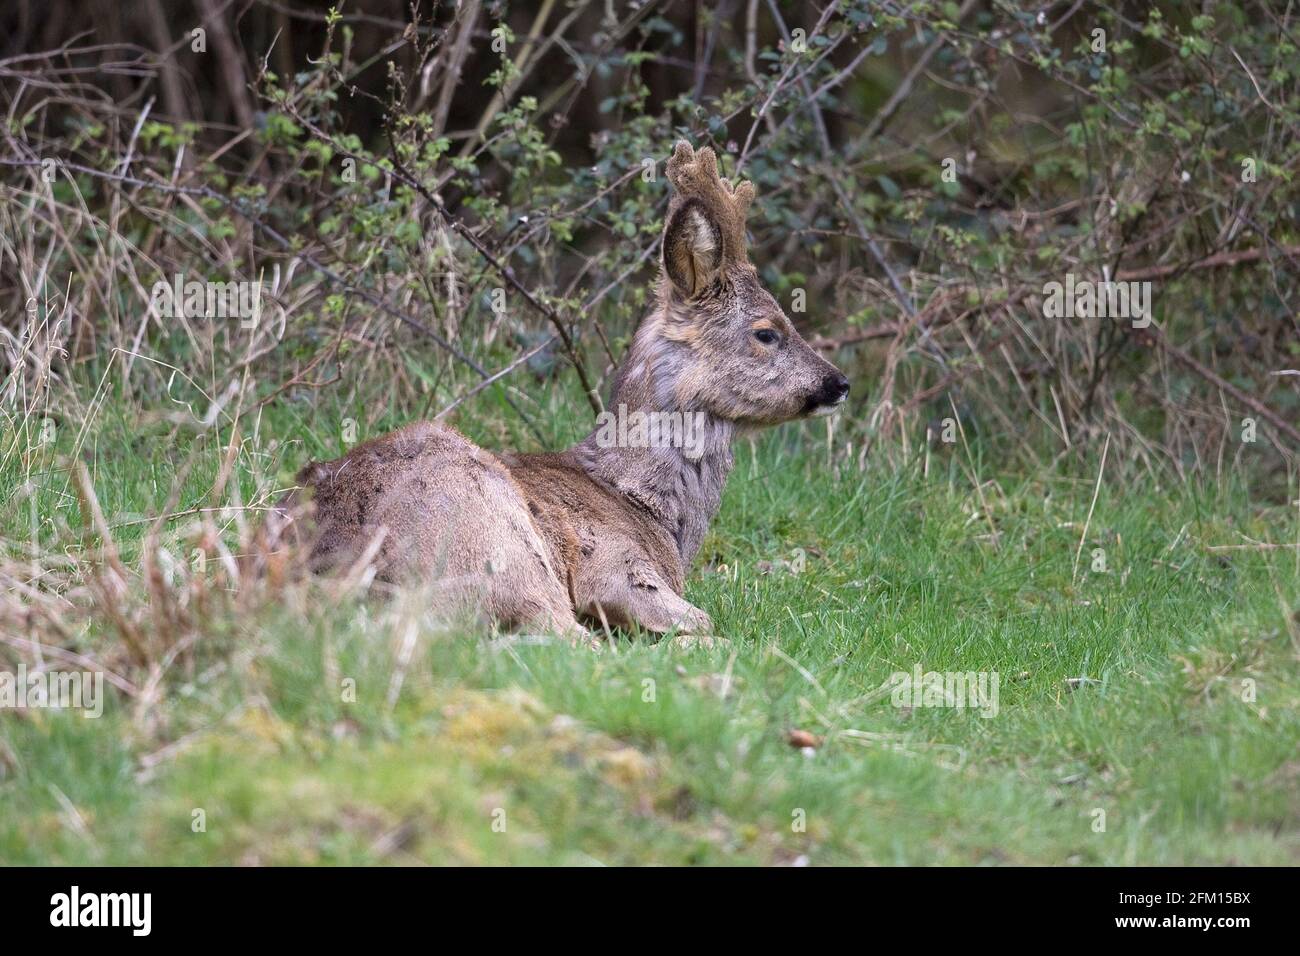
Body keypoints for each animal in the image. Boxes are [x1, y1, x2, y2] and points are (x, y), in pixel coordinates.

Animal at [283, 140, 847, 634]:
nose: (838, 382)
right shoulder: (617, 565)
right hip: (496, 540)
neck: (647, 509)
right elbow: (700, 619)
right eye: (767, 331)